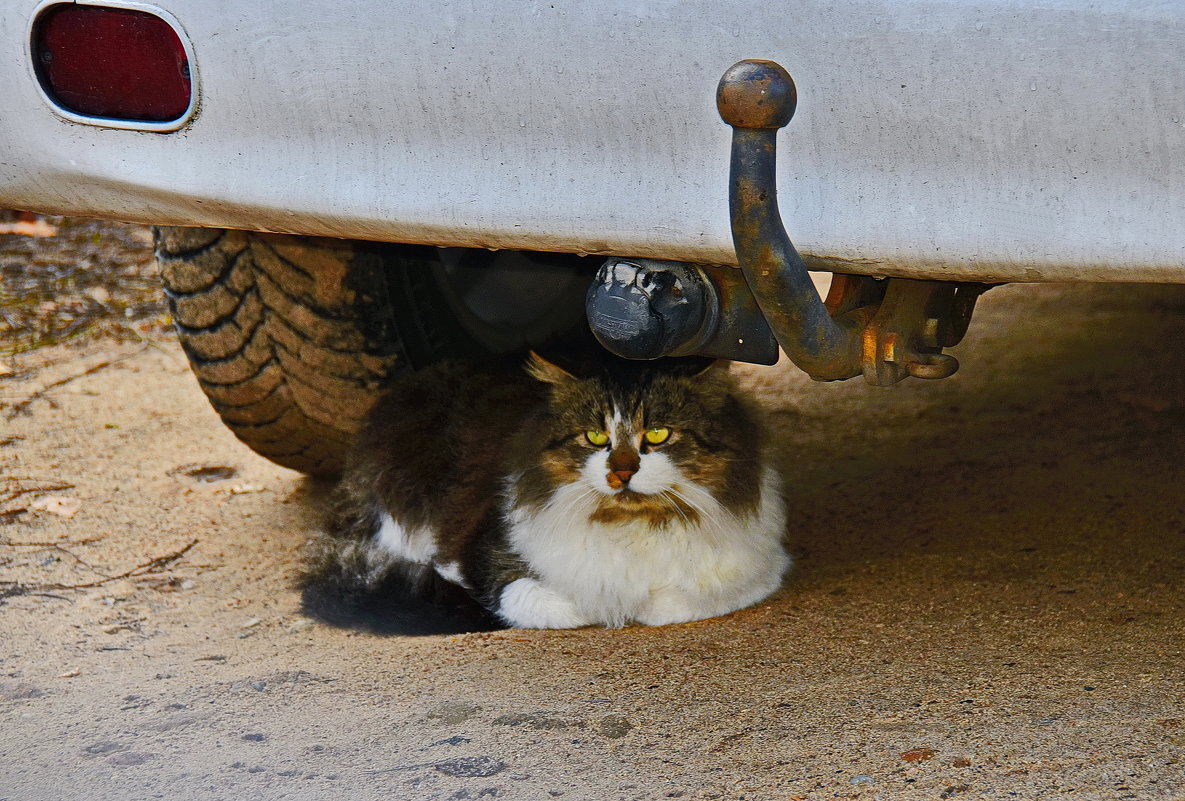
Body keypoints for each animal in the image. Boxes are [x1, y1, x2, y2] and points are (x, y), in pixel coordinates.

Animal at [300, 350, 791, 630]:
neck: (631, 524)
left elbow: (673, 601)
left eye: (657, 434)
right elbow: (565, 604)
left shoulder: (759, 568)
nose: (621, 473)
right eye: (595, 437)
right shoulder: (482, 557)